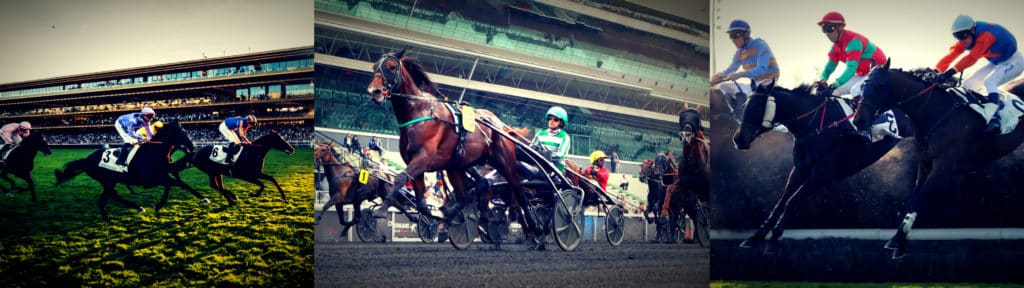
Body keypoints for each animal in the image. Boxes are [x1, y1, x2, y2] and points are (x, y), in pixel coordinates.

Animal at [737, 79, 905, 251]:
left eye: (757, 107)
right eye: (743, 106)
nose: (739, 139)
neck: (815, 126)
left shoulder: (821, 175)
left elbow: (791, 201)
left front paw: (775, 236)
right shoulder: (799, 169)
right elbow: (780, 203)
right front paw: (755, 237)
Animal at [851, 59, 1024, 256]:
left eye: (879, 86)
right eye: (863, 85)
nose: (858, 121)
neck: (935, 113)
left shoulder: (943, 167)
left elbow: (920, 199)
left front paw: (898, 239)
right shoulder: (925, 163)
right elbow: (913, 198)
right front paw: (900, 241)